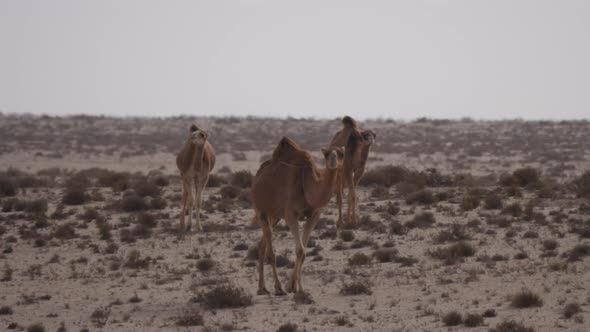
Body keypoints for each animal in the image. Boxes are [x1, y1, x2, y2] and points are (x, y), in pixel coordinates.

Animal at [254, 137, 346, 296]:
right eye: (326, 154)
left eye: (341, 154)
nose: (333, 161)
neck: (307, 184)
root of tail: (258, 175)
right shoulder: (291, 215)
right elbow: (300, 250)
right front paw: (292, 287)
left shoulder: (314, 215)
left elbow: (303, 252)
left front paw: (296, 287)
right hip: (261, 211)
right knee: (270, 250)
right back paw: (277, 288)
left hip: (275, 216)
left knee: (262, 245)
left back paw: (262, 288)